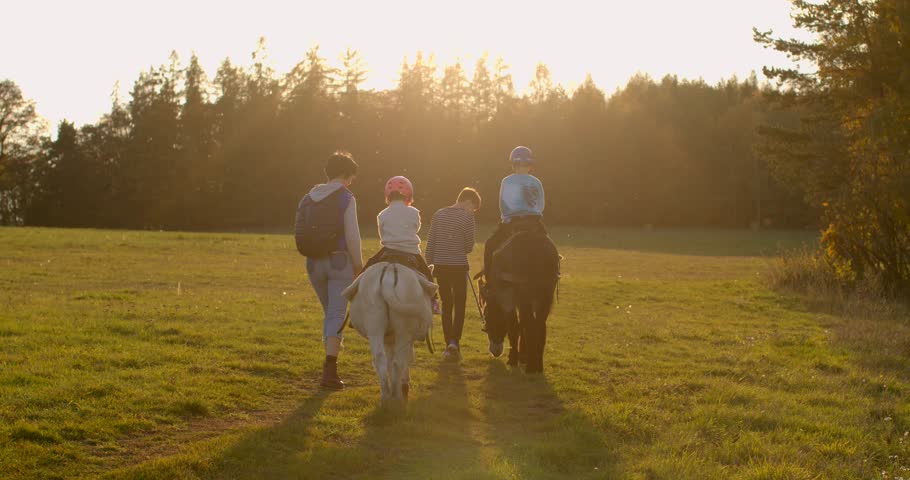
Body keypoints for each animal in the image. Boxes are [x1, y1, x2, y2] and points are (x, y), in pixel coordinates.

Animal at [344, 262, 440, 404]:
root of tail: (387, 281)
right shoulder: (407, 339)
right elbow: (408, 358)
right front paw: (405, 383)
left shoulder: (388, 340)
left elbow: (388, 359)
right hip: (403, 331)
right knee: (398, 361)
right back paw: (398, 396)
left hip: (374, 326)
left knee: (380, 358)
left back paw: (385, 396)